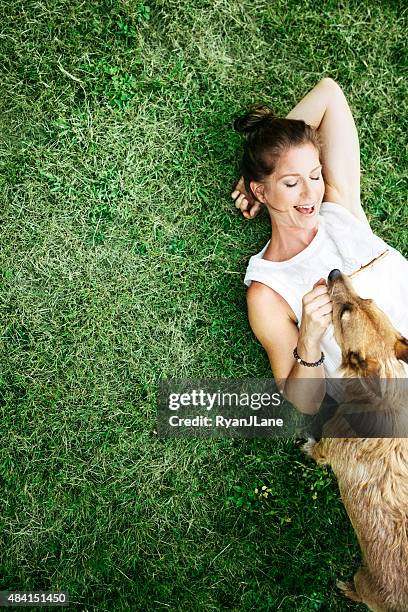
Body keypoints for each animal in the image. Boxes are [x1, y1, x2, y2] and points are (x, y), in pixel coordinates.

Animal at [302, 268, 408, 612]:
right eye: (367, 298)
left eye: (344, 312)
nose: (334, 272)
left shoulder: (328, 444)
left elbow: (316, 449)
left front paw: (307, 445)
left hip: (365, 581)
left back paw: (346, 589)